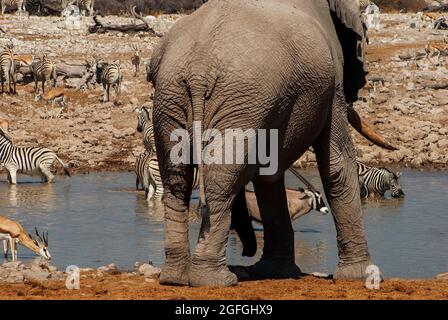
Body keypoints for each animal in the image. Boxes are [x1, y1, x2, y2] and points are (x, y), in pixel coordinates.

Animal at [149, 0, 398, 288]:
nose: (247, 249)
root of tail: (200, 70)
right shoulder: (333, 79)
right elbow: (336, 162)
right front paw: (359, 275)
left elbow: (270, 173)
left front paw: (276, 271)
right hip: (239, 99)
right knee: (217, 178)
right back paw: (215, 280)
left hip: (173, 97)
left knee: (176, 178)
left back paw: (175, 278)